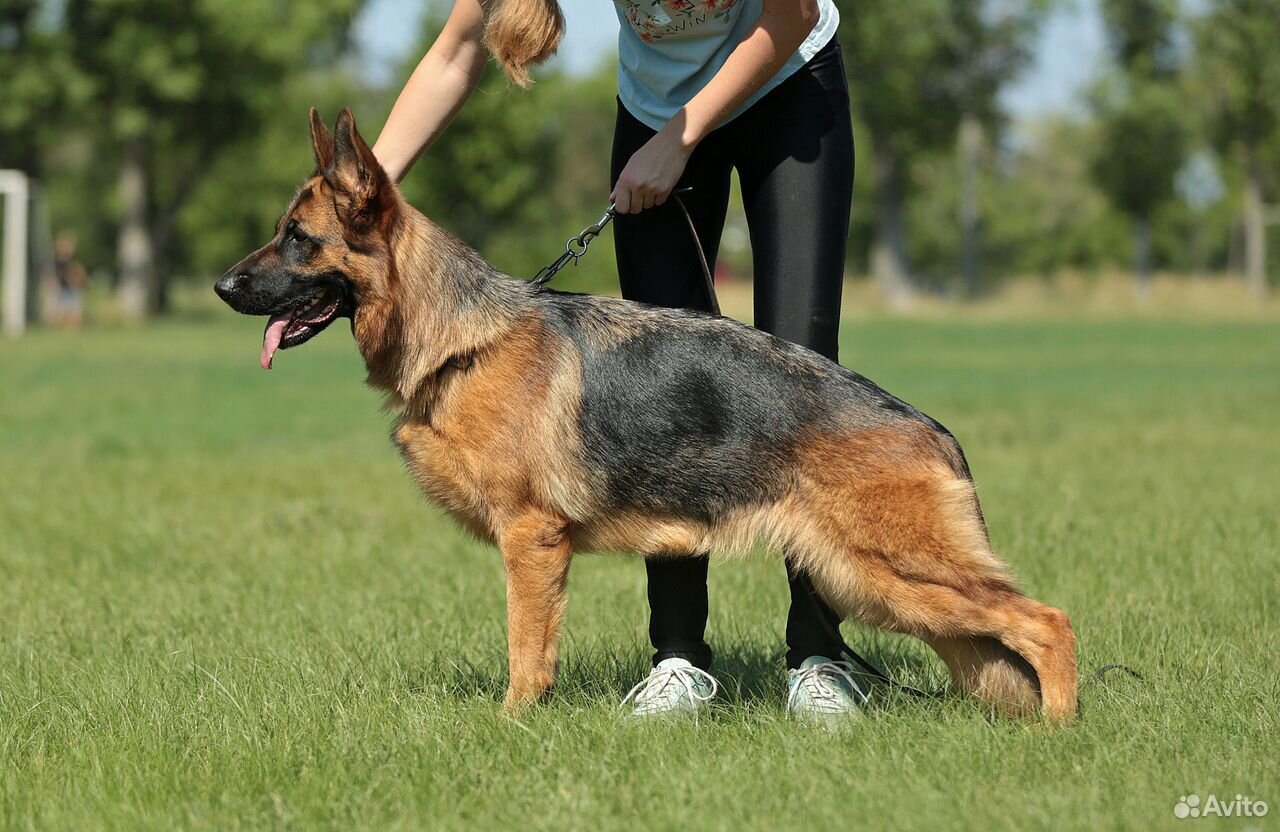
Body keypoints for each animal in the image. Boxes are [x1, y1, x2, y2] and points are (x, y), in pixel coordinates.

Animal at [215, 108, 1075, 716]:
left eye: (297, 238)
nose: (222, 287)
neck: (460, 338)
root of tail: (932, 430)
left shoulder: (531, 541)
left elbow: (526, 652)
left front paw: (512, 724)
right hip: (877, 584)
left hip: (890, 575)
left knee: (1048, 621)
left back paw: (1059, 731)